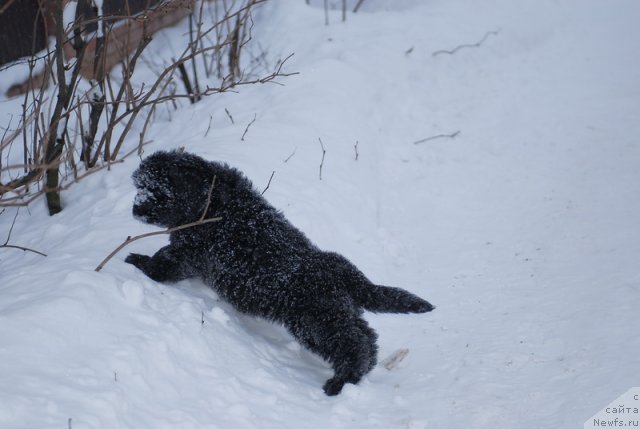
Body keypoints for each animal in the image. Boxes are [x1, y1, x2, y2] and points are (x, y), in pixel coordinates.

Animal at [125, 150, 436, 394]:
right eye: (139, 187)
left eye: (156, 192)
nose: (135, 210)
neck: (210, 201)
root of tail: (341, 270)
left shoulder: (188, 250)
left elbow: (163, 263)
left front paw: (135, 260)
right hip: (336, 312)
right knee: (367, 336)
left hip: (315, 322)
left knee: (352, 343)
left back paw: (342, 380)